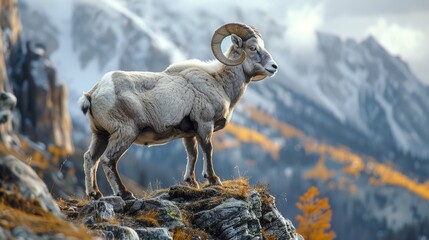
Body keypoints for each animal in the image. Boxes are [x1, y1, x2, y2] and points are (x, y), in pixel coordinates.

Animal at [79, 22, 278, 200]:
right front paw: (213, 180)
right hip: (125, 133)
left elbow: (193, 154)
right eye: (252, 48)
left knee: (91, 158)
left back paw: (95, 194)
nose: (273, 67)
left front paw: (192, 183)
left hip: (101, 134)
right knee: (108, 160)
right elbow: (207, 149)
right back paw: (125, 194)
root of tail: (93, 93)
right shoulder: (205, 125)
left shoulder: (189, 134)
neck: (220, 83)